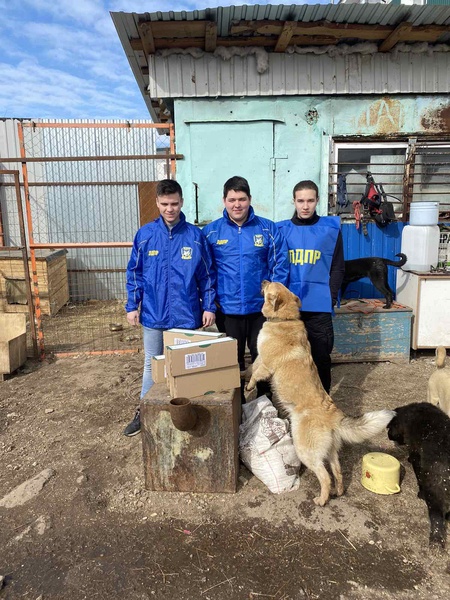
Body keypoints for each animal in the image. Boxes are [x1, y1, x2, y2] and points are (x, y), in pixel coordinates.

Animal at [244, 282, 396, 506]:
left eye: (270, 284)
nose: (263, 280)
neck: (285, 319)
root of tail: (333, 415)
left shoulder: (266, 364)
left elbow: (256, 374)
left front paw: (249, 386)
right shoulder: (259, 359)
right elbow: (250, 368)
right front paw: (242, 374)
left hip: (306, 451)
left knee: (325, 476)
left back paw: (321, 499)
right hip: (331, 452)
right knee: (338, 472)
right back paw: (338, 492)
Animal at [386, 404, 450, 548]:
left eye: (390, 427)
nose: (388, 436)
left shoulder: (415, 452)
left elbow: (418, 475)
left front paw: (420, 493)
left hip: (435, 489)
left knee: (436, 517)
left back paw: (436, 540)